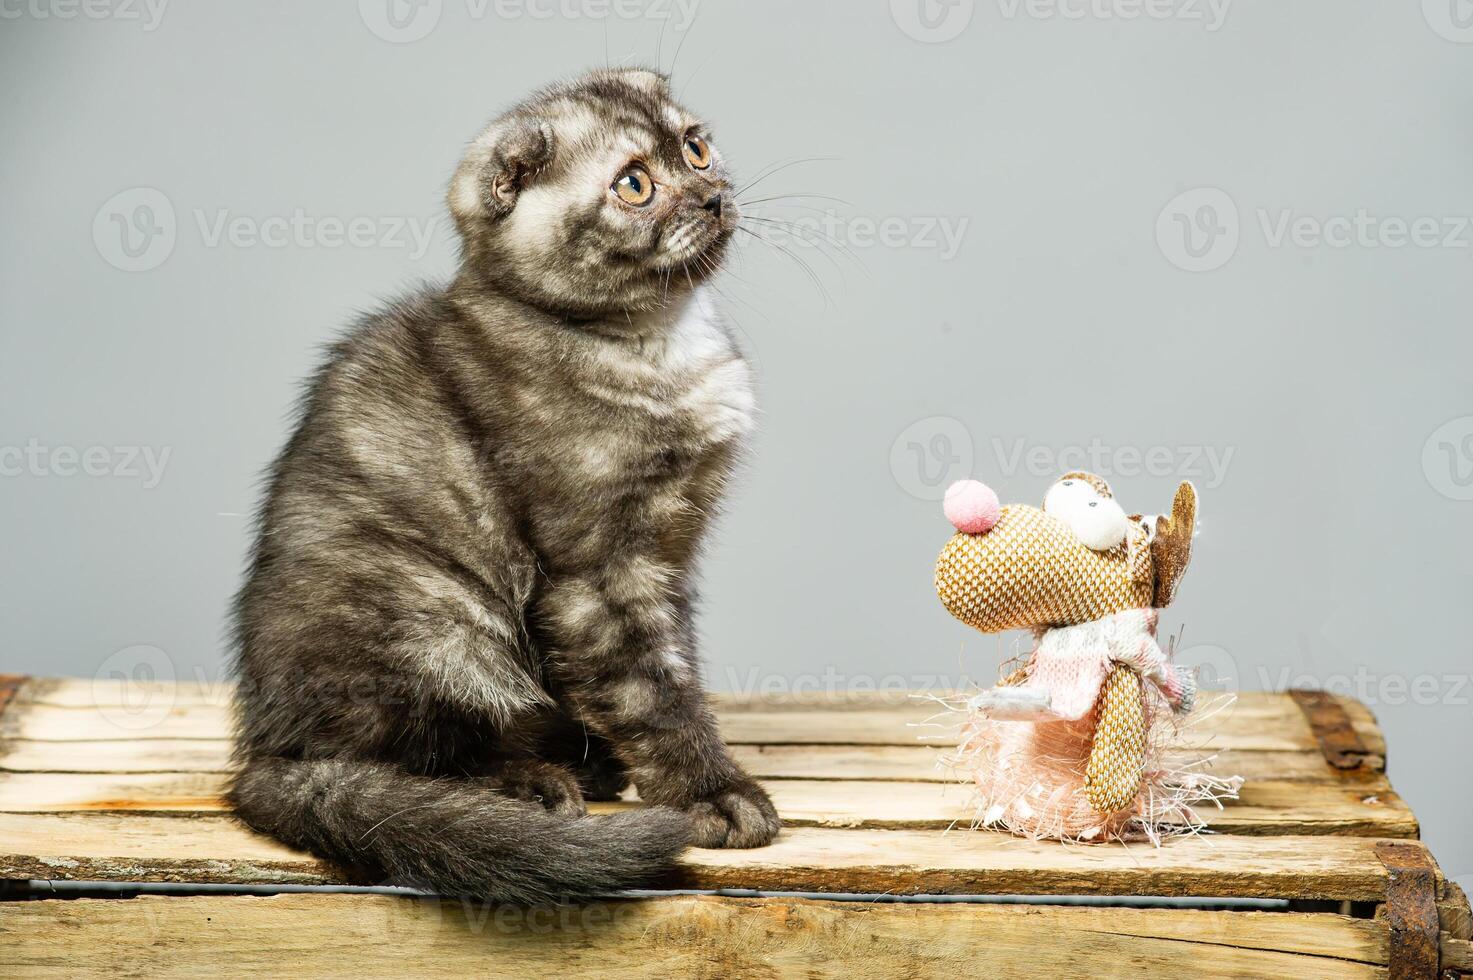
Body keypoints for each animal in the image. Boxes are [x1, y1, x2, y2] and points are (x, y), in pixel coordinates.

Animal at [226, 68, 783, 901]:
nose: (712, 196)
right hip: (437, 609)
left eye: (695, 147)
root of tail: (267, 752)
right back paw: (528, 783)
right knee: (408, 756)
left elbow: (667, 666)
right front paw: (711, 794)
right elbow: (652, 690)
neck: (658, 345)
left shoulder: (669, 552)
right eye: (634, 185)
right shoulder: (598, 573)